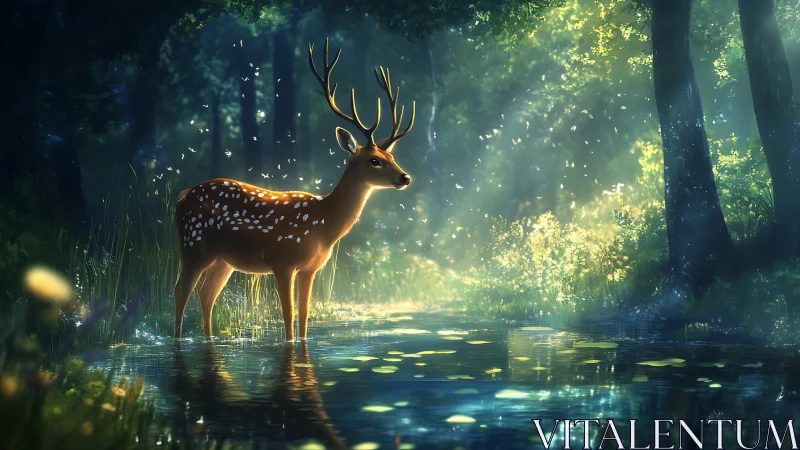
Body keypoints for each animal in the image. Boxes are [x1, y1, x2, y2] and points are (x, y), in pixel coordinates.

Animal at [173, 38, 415, 340]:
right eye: (374, 160)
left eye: (391, 156)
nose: (405, 177)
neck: (323, 225)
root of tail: (183, 196)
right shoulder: (282, 260)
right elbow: (288, 316)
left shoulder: (309, 269)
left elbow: (304, 315)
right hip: (194, 244)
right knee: (180, 292)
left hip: (222, 260)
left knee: (206, 295)